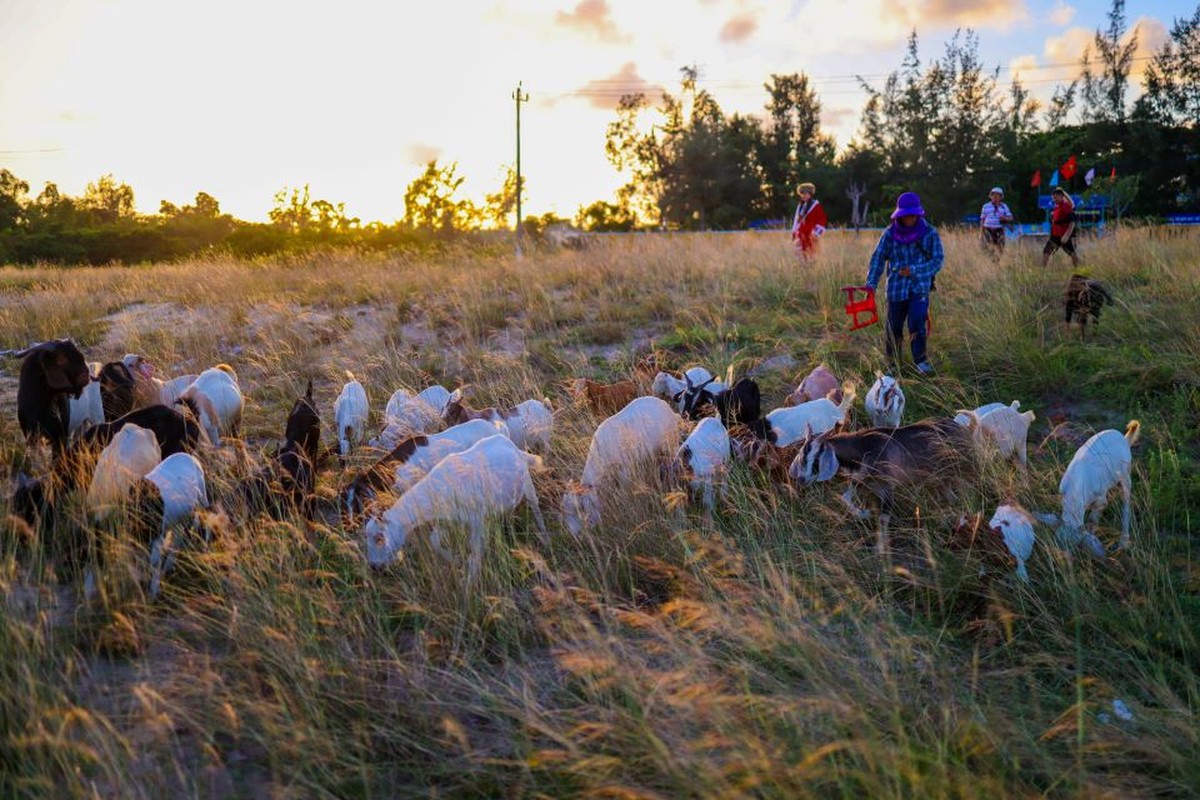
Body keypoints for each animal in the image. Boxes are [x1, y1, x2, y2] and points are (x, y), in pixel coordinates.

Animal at [364, 434, 549, 578]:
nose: (374, 566)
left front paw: (471, 583)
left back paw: (544, 536)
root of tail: (506, 441)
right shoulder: (447, 520)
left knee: (536, 508)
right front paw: (457, 561)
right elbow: (435, 541)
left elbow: (475, 551)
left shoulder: (476, 520)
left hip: (527, 484)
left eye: (379, 538)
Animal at [559, 395, 681, 537]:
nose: (575, 536)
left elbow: (624, 490)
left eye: (580, 509)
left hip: (671, 442)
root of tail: (667, 407)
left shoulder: (625, 468)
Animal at [1056, 419, 1137, 556]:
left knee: (1126, 504)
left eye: (1074, 546)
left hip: (1125, 476)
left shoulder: (1100, 499)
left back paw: (1123, 541)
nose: (1065, 558)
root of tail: (1123, 438)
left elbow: (1094, 518)